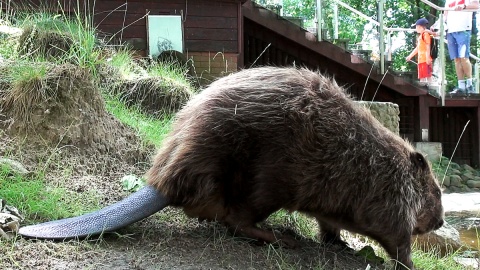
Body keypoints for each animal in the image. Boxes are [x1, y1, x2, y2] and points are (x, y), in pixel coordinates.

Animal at [20, 66, 444, 270]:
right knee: (236, 221)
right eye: (437, 193)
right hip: (264, 181)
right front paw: (408, 264)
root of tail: (161, 183)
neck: (396, 166)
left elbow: (330, 225)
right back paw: (281, 236)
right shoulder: (392, 200)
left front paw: (339, 243)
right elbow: (397, 241)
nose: (440, 221)